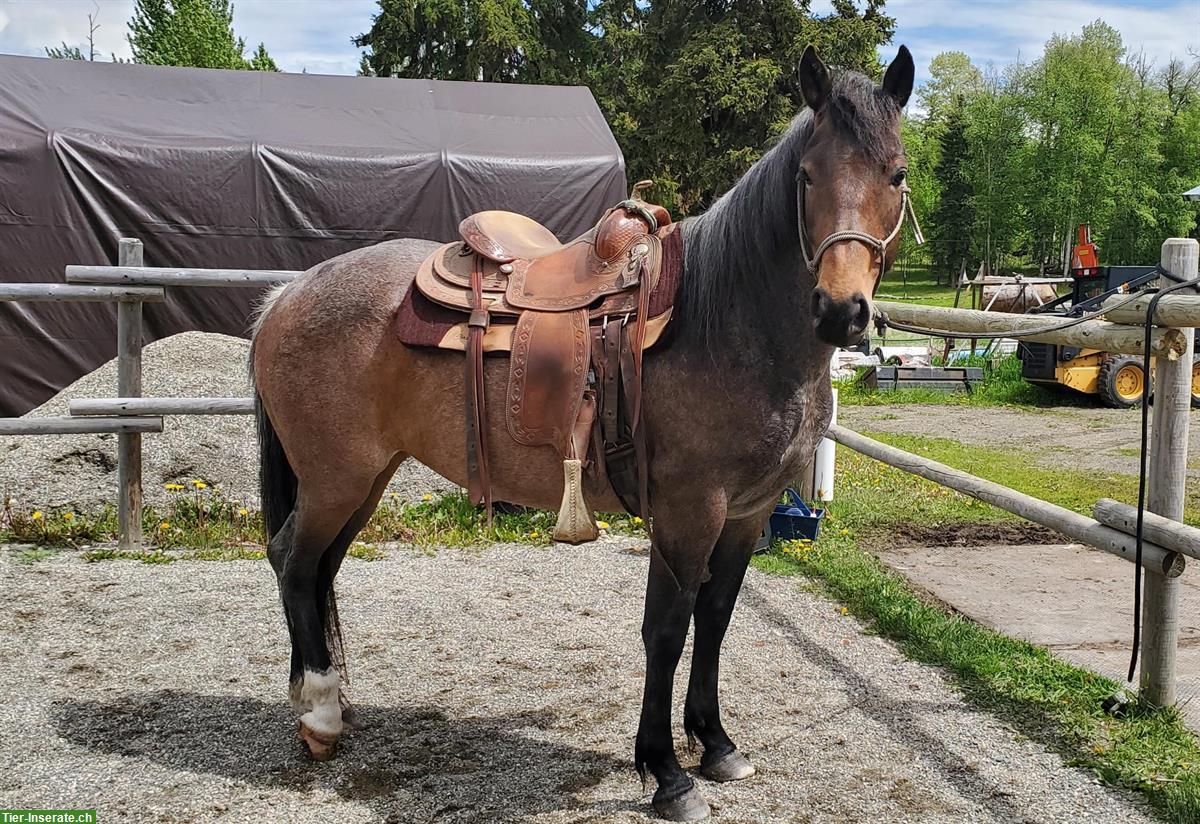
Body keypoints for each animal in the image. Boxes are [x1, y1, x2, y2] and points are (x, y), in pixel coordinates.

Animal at [248, 46, 912, 824]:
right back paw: (320, 717)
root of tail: (287, 294)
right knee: (294, 561)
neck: (726, 322)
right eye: (807, 175)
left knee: (319, 568)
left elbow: (716, 619)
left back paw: (326, 702)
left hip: (364, 479)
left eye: (896, 174)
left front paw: (716, 745)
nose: (841, 310)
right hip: (336, 477)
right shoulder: (688, 512)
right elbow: (667, 629)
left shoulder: (746, 515)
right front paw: (666, 772)